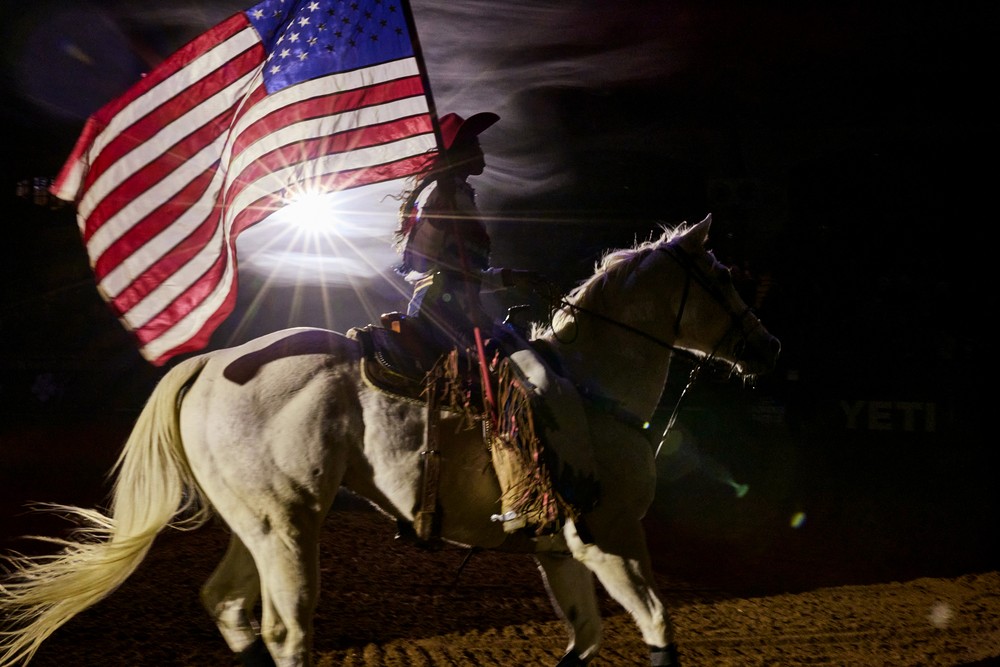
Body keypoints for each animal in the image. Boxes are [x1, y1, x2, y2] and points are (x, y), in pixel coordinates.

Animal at [0, 214, 779, 667]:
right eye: (724, 277)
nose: (766, 347)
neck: (591, 385)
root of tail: (213, 363)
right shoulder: (609, 537)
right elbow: (657, 626)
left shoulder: (561, 550)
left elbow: (584, 639)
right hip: (288, 527)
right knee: (287, 632)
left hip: (255, 524)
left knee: (227, 606)